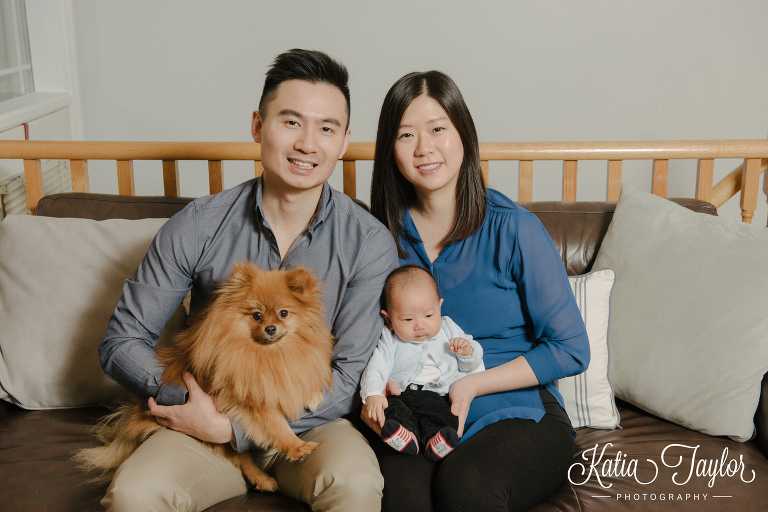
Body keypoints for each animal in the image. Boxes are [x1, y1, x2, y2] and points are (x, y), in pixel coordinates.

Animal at [73, 264, 334, 492]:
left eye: (283, 313)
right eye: (257, 315)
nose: (271, 328)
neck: (267, 353)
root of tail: (135, 411)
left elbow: (304, 378)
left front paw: (313, 396)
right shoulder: (250, 400)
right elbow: (276, 425)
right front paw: (297, 447)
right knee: (240, 457)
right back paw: (264, 480)